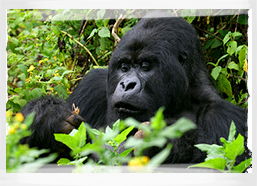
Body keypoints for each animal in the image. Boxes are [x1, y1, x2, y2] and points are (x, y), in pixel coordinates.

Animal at [20, 12, 248, 164]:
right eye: (124, 67)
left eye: (145, 66)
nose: (126, 84)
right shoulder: (92, 85)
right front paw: (48, 118)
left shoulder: (225, 117)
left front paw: (162, 144)